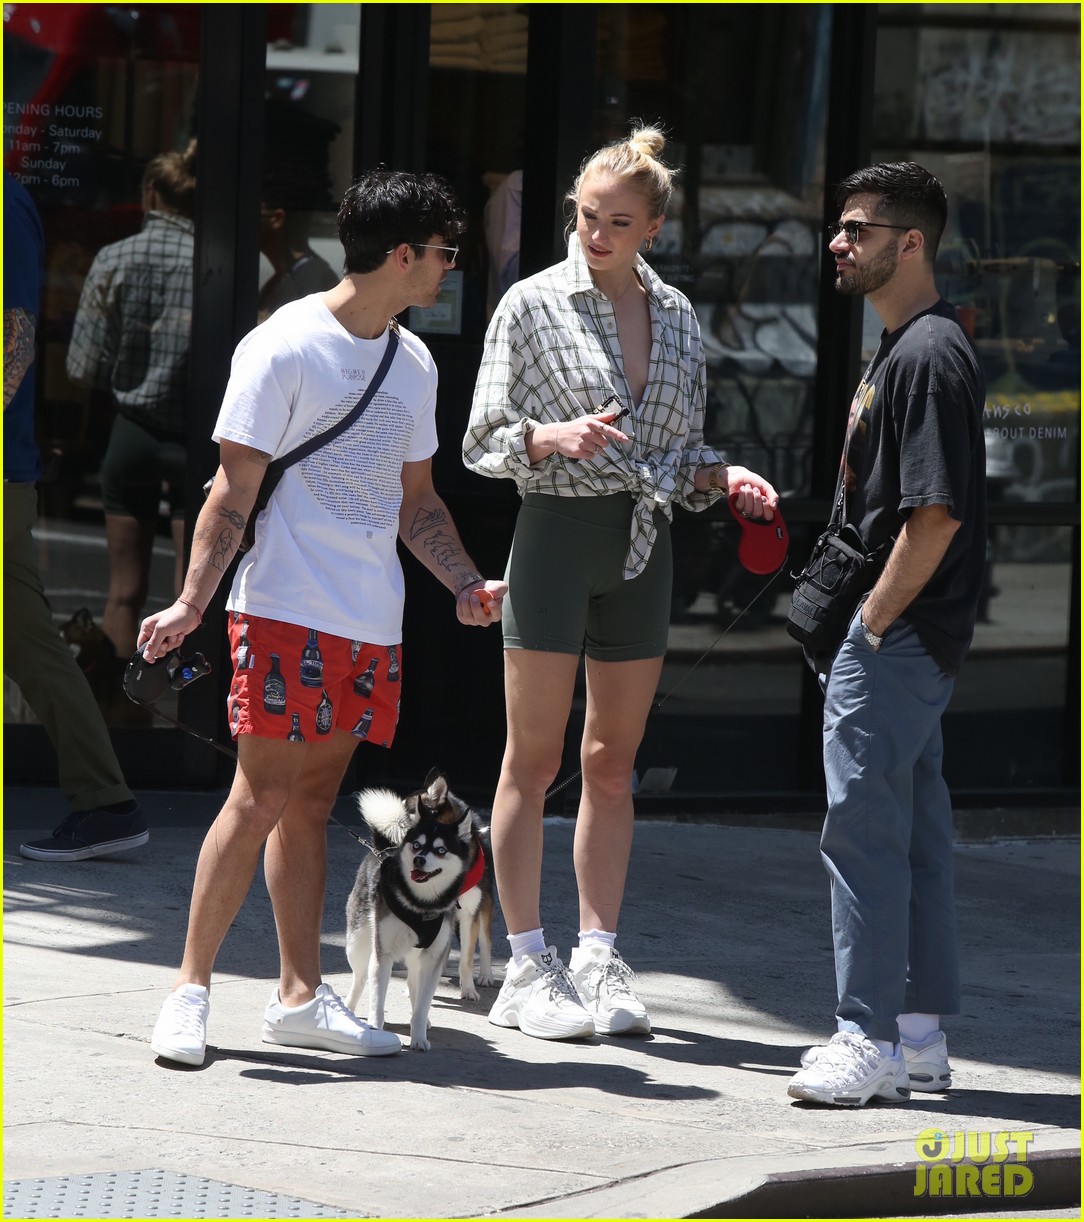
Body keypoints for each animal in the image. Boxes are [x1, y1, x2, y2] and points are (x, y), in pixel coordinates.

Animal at [344, 772, 493, 1050]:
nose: (418, 860)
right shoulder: (383, 954)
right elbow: (377, 999)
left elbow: (430, 995)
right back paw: (348, 1008)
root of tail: (382, 850)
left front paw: (420, 1034)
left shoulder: (449, 936)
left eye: (440, 850)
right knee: (360, 979)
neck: (422, 903)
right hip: (358, 944)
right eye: (415, 844)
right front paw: (376, 1028)